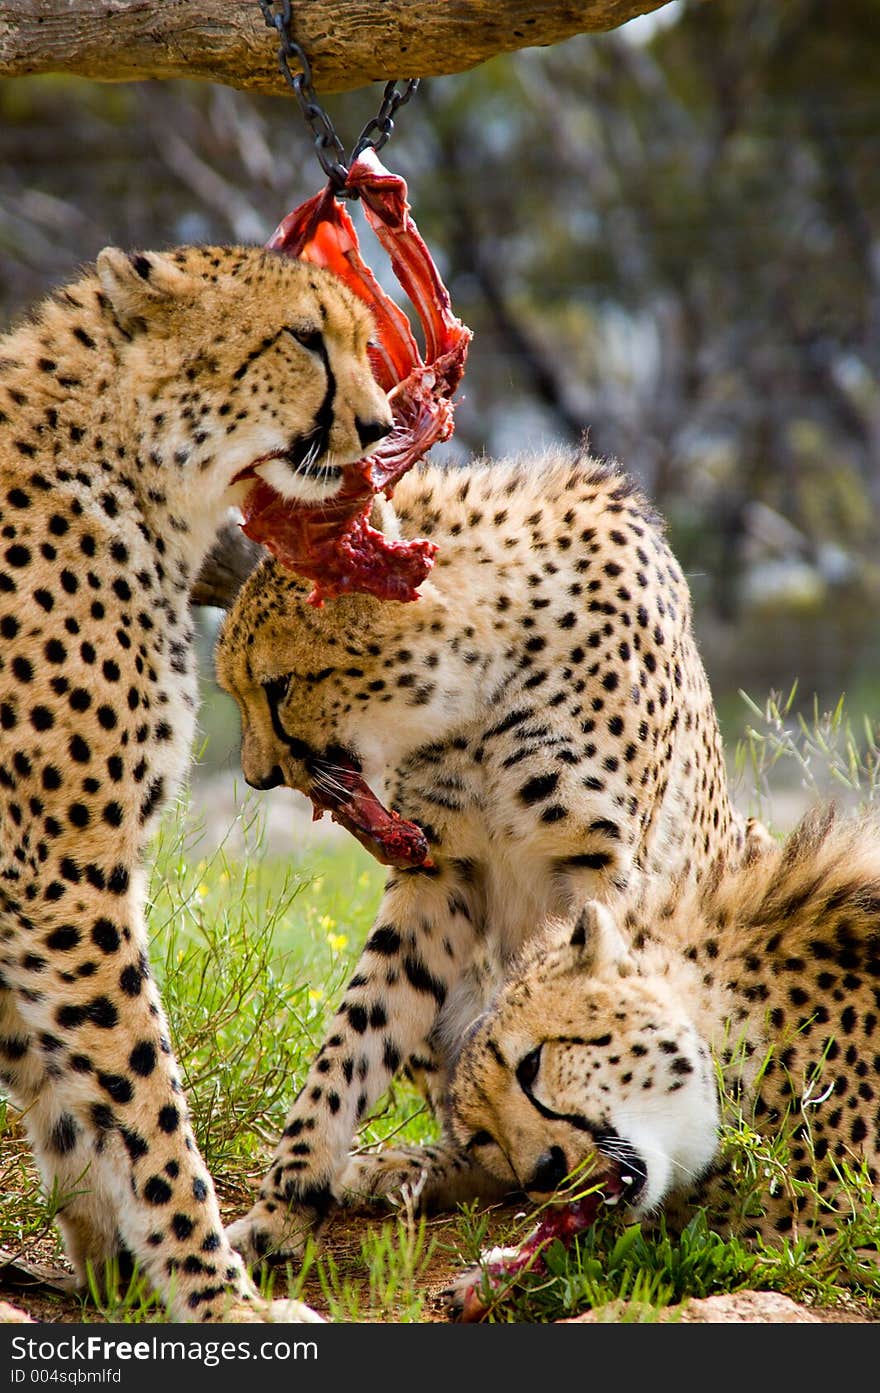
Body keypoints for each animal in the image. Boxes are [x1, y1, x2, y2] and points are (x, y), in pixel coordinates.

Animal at [0, 245, 392, 1320]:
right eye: (305, 337)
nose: (385, 426)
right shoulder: (65, 869)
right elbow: (142, 1089)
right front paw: (219, 1293)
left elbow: (65, 1084)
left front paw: (117, 1270)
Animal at [214, 445, 763, 1264]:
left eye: (278, 688)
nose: (257, 777)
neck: (481, 687)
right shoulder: (437, 873)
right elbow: (354, 1036)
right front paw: (286, 1200)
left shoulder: (602, 870)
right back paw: (407, 1166)